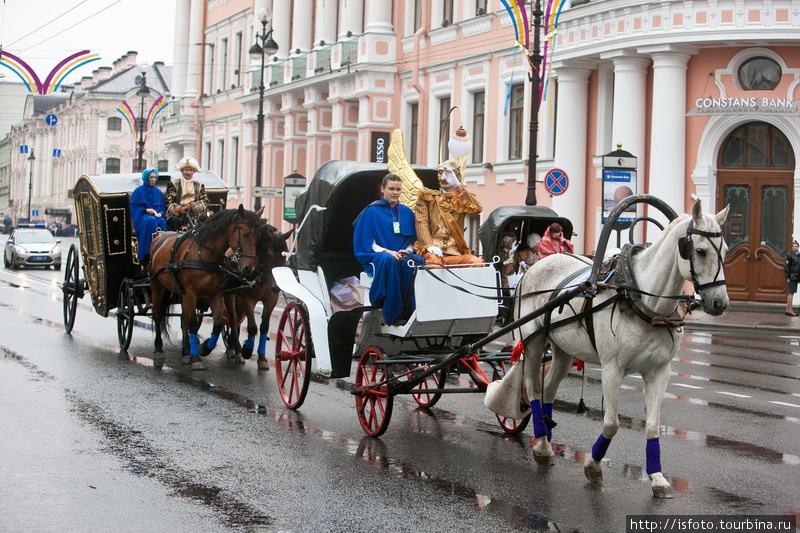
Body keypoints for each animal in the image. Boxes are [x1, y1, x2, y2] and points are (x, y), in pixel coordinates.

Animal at [148, 204, 260, 370]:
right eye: (245, 234)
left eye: (258, 237)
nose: (249, 268)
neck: (204, 254)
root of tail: (159, 236)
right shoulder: (192, 293)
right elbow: (194, 325)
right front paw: (196, 358)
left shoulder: (215, 293)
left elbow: (218, 324)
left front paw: (204, 349)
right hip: (157, 285)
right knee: (157, 314)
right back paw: (158, 349)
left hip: (183, 293)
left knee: (185, 319)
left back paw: (185, 352)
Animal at [217, 222, 292, 368]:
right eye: (269, 254)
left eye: (284, 256)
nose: (277, 287)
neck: (262, 275)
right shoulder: (248, 299)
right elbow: (252, 327)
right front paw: (247, 350)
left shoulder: (271, 300)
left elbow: (264, 327)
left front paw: (262, 358)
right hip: (230, 296)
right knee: (233, 320)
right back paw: (236, 351)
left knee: (237, 320)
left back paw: (232, 345)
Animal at [516, 197, 728, 496]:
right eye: (700, 250)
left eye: (726, 250)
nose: (719, 303)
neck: (642, 301)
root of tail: (536, 266)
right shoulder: (612, 370)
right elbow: (612, 424)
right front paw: (593, 465)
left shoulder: (660, 372)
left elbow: (652, 426)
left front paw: (657, 478)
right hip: (534, 342)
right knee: (534, 389)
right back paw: (543, 445)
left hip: (564, 350)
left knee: (549, 389)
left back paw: (545, 438)